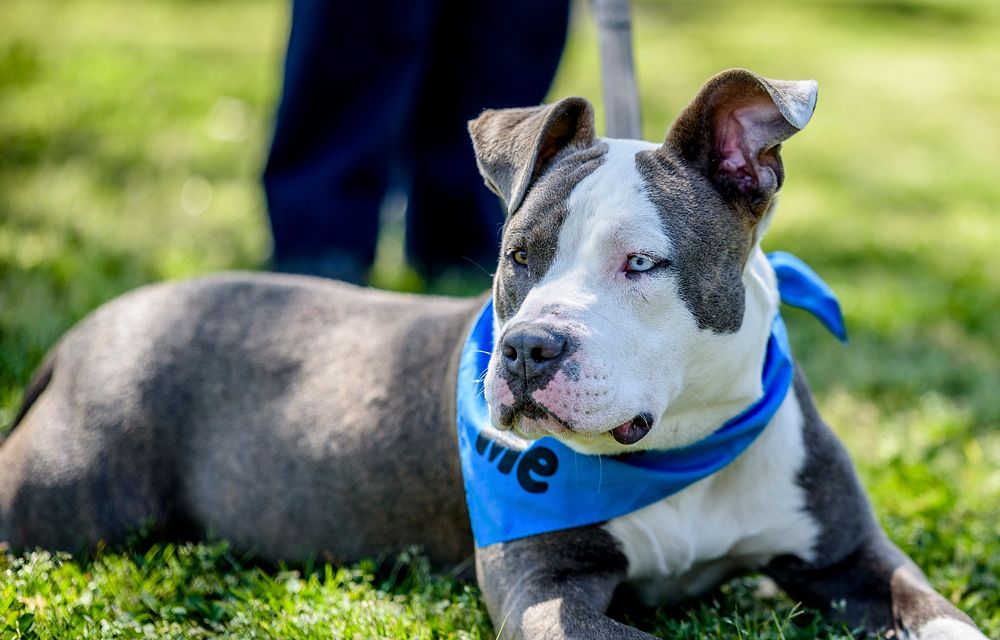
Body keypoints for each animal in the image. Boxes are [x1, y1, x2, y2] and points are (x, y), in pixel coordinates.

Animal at [0, 67, 984, 636]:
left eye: (642, 262)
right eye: (519, 257)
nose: (527, 350)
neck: (681, 452)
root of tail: (96, 324)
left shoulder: (859, 558)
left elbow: (945, 621)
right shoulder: (546, 591)